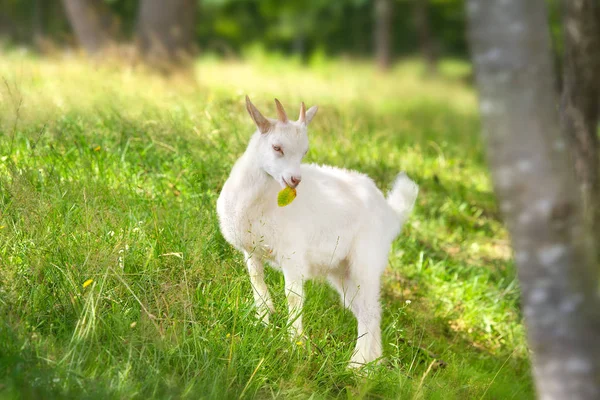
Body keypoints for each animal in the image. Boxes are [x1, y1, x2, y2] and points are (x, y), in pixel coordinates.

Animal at [216, 96, 418, 366]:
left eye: (305, 151)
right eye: (277, 147)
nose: (294, 180)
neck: (262, 201)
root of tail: (390, 212)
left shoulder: (293, 254)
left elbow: (293, 296)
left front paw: (294, 345)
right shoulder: (252, 251)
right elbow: (258, 285)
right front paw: (262, 322)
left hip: (366, 260)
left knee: (369, 311)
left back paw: (356, 365)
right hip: (341, 270)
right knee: (366, 310)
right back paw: (372, 365)